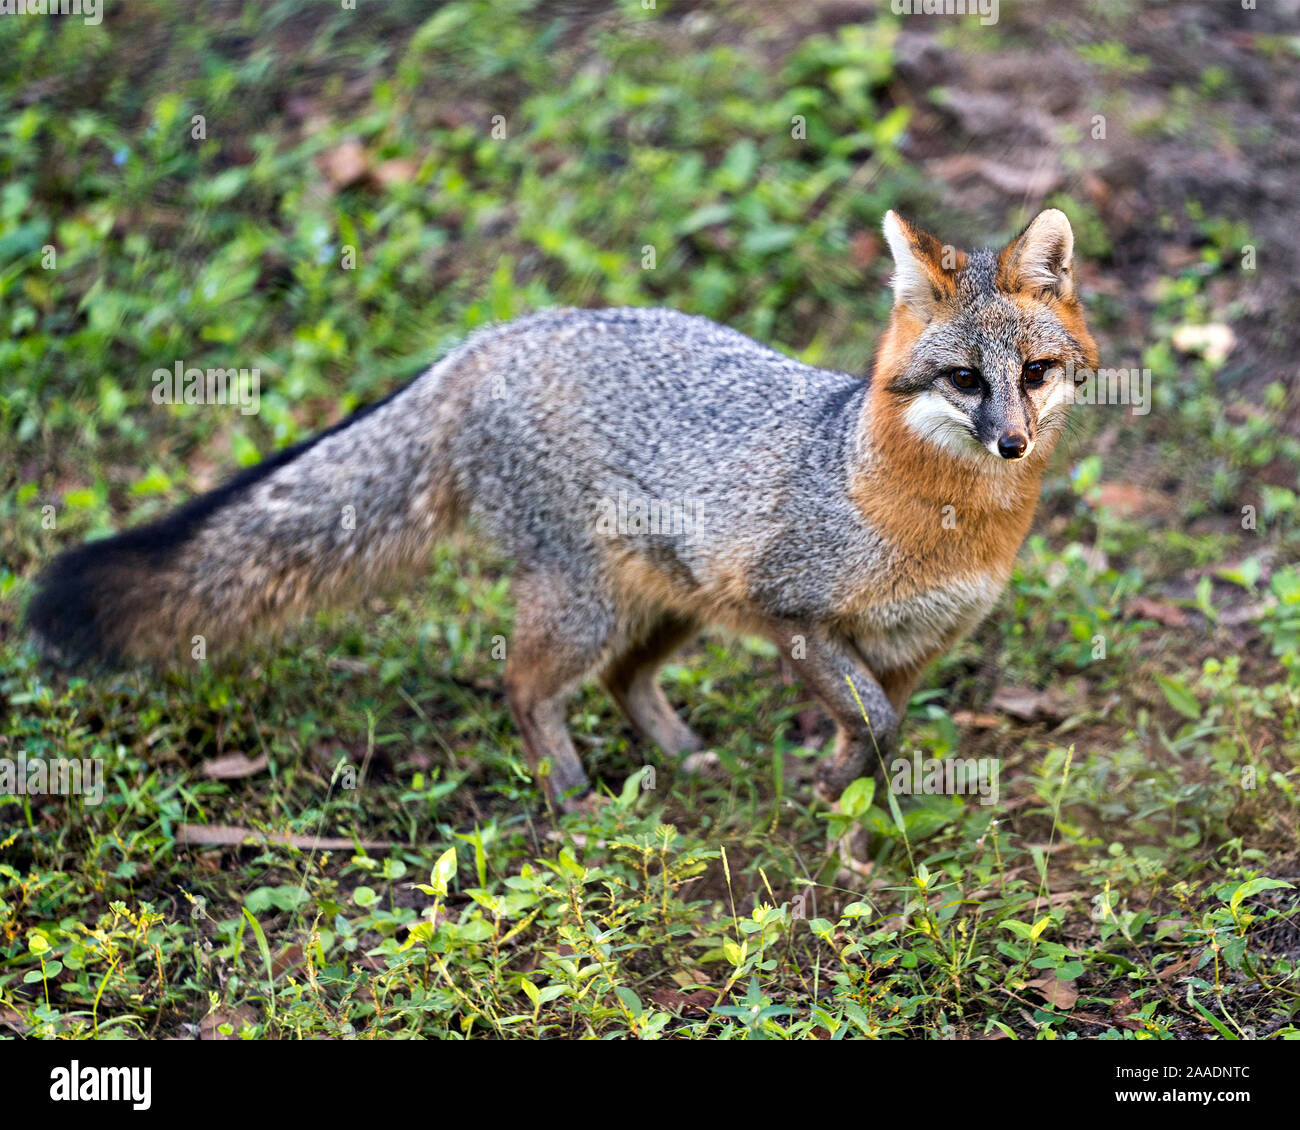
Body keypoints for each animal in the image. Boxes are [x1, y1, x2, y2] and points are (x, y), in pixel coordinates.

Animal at [30, 209, 1097, 811]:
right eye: (965, 380)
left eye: (1035, 375)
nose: (1012, 443)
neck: (947, 526)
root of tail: (495, 336)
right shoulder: (795, 614)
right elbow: (871, 725)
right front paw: (827, 803)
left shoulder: (914, 648)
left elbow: (880, 738)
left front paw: (852, 837)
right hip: (588, 604)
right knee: (524, 688)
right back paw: (574, 798)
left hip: (666, 606)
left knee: (623, 680)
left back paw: (681, 758)